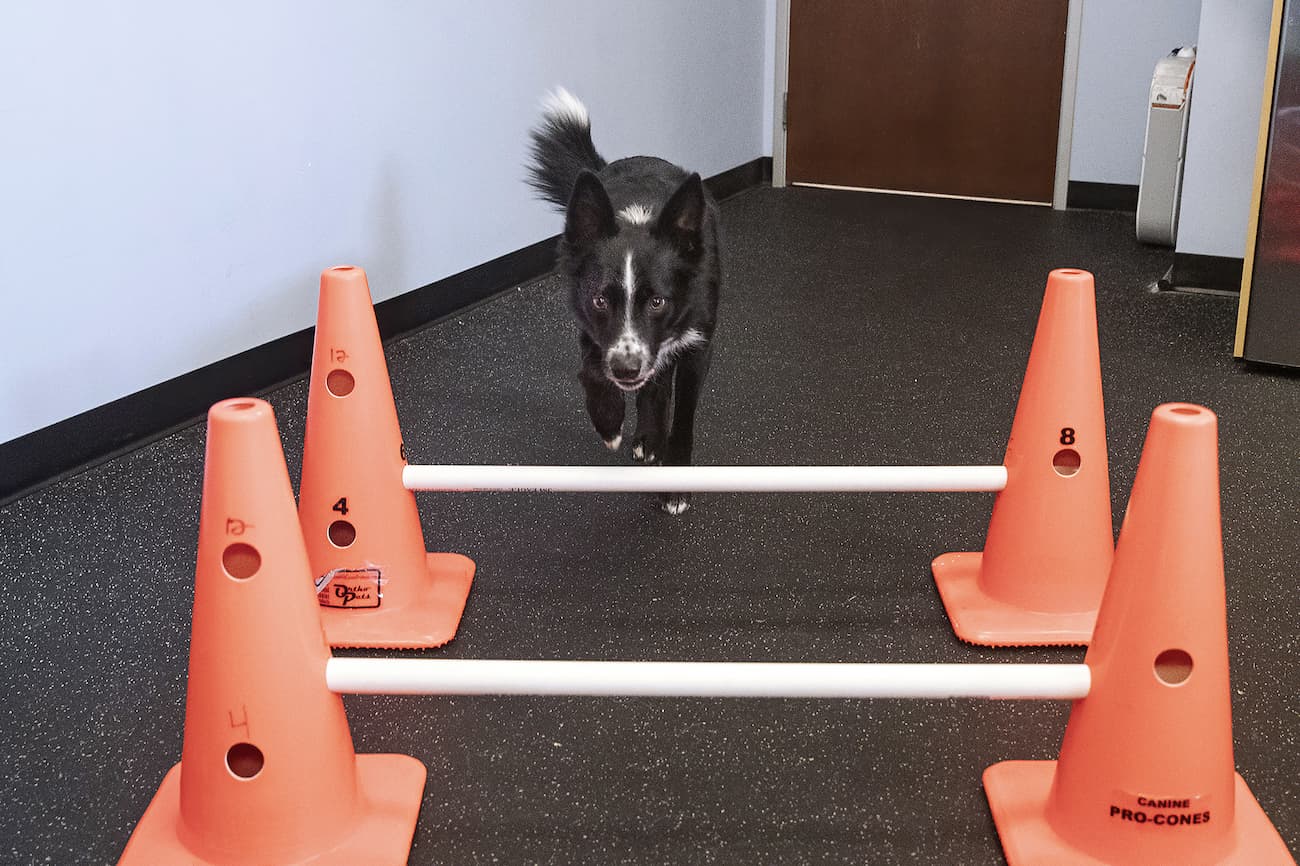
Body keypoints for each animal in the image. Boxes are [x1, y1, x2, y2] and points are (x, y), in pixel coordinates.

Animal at [525, 89, 722, 512]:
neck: (638, 217)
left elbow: (683, 413)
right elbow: (593, 372)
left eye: (658, 302)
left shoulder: (698, 343)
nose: (627, 370)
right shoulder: (590, 327)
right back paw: (646, 433)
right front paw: (609, 421)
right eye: (601, 300)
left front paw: (676, 481)